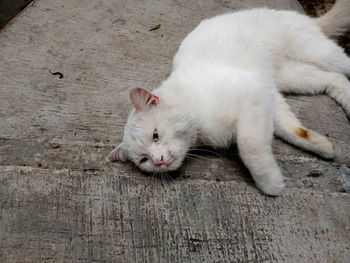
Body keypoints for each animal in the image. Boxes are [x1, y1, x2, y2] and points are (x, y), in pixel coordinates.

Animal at [108, 0, 350, 196]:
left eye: (155, 135)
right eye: (144, 160)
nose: (158, 161)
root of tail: (304, 17)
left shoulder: (253, 95)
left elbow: (249, 143)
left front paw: (271, 184)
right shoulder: (267, 95)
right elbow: (292, 129)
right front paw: (325, 147)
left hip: (318, 53)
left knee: (342, 66)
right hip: (292, 76)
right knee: (333, 79)